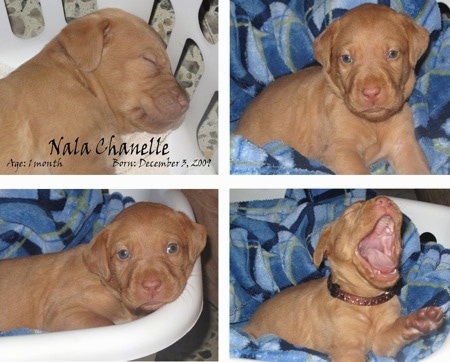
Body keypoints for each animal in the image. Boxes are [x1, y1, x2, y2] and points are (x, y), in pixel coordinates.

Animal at [236, 3, 428, 174]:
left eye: (393, 54)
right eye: (346, 58)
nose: (371, 93)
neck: (373, 123)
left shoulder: (404, 145)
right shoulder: (340, 152)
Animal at [243, 198, 442, 362]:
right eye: (351, 213)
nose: (385, 200)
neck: (367, 301)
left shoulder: (382, 341)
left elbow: (397, 329)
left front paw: (418, 321)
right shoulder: (346, 349)